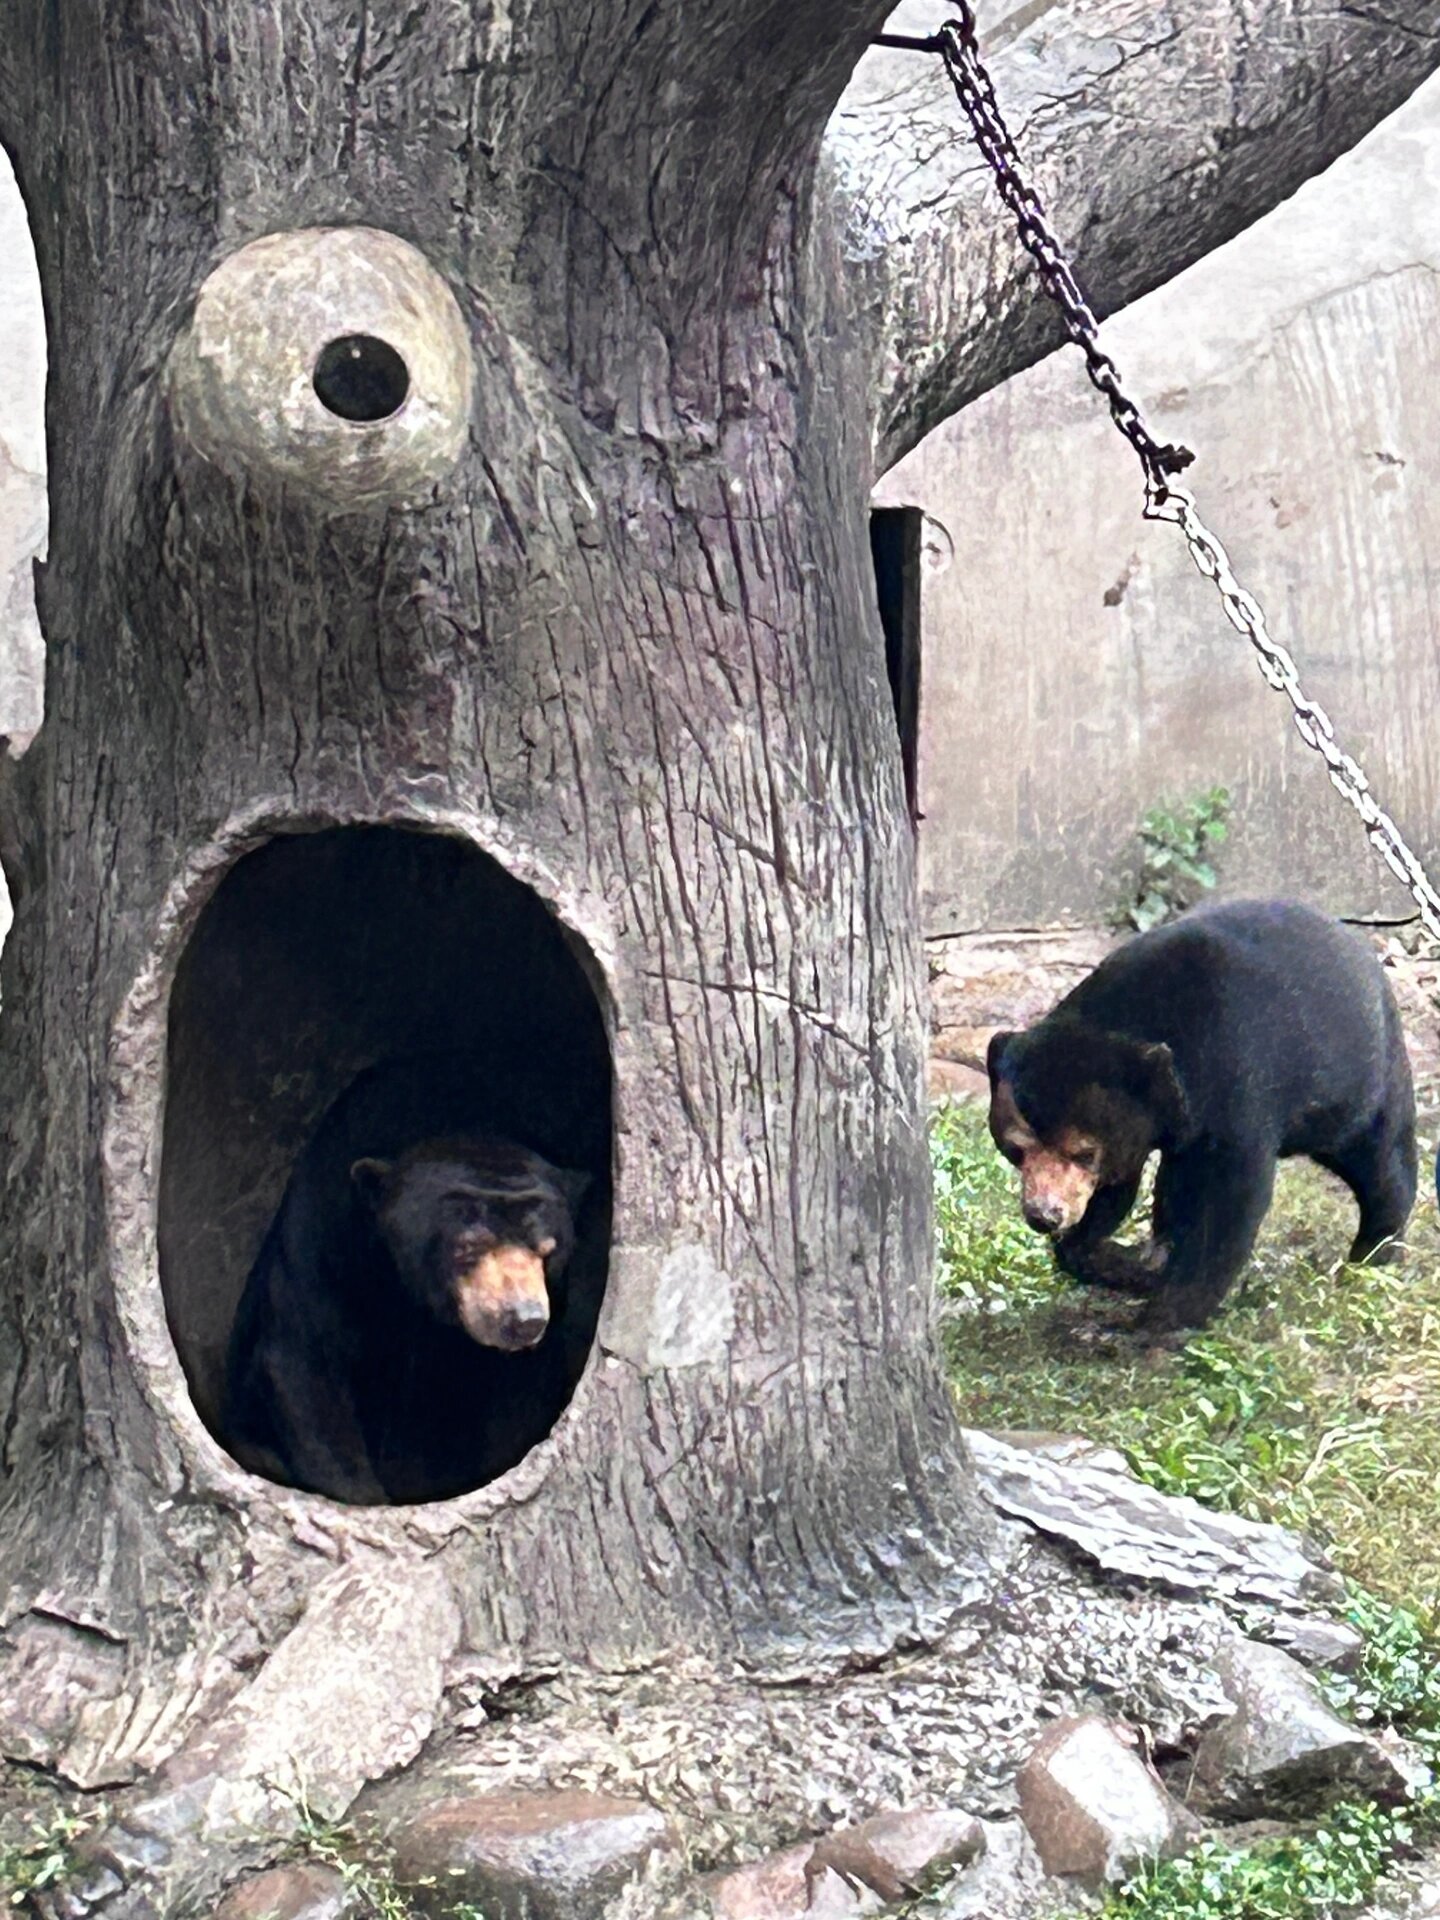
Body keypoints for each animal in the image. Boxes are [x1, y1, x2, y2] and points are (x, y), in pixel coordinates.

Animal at [990, 902, 1413, 1336]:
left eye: (1083, 1153)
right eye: (1015, 1150)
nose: (1043, 1215)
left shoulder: (1236, 1079)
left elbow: (1230, 1199)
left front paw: (1162, 1320)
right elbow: (1117, 1188)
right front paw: (1128, 1266)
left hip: (1361, 1083)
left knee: (1381, 1161)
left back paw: (1371, 1256)